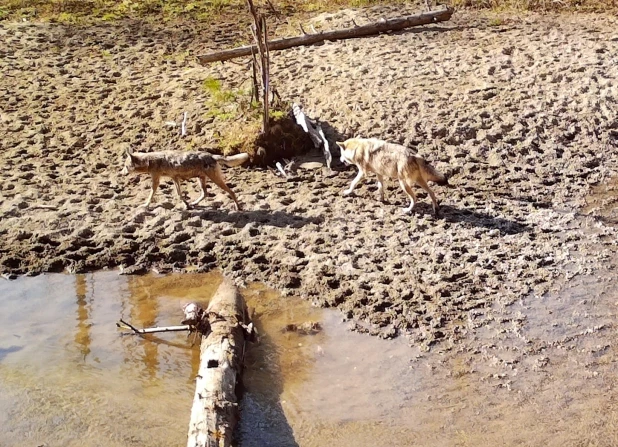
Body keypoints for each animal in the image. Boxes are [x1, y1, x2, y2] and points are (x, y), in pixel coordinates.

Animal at [119, 150, 247, 211]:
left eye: (125, 166)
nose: (121, 173)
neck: (149, 161)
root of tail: (212, 155)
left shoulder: (156, 181)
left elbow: (150, 195)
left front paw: (145, 205)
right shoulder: (175, 178)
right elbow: (179, 195)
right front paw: (187, 205)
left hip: (215, 180)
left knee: (231, 192)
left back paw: (238, 208)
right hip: (201, 180)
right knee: (205, 193)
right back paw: (194, 203)